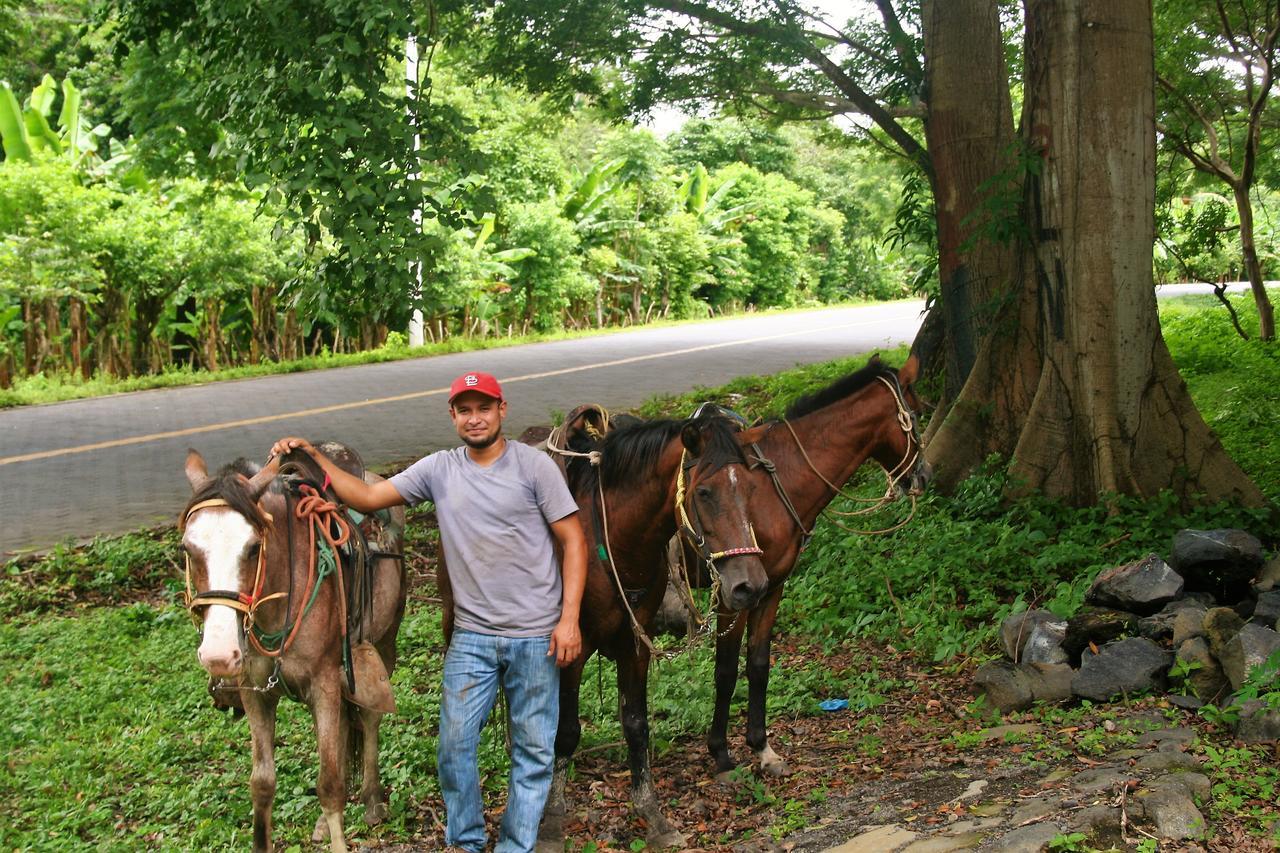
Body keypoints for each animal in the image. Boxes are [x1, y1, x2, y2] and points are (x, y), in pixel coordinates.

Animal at [180, 445, 404, 850]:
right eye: (187, 549)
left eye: (254, 547)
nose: (218, 655)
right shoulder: (255, 692)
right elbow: (262, 783)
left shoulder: (325, 682)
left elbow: (329, 785)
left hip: (382, 643)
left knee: (368, 717)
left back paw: (372, 800)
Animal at [696, 356, 926, 778]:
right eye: (915, 414)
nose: (923, 474)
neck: (770, 490)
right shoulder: (732, 595)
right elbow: (724, 670)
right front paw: (720, 751)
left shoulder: (771, 587)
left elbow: (758, 664)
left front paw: (762, 747)